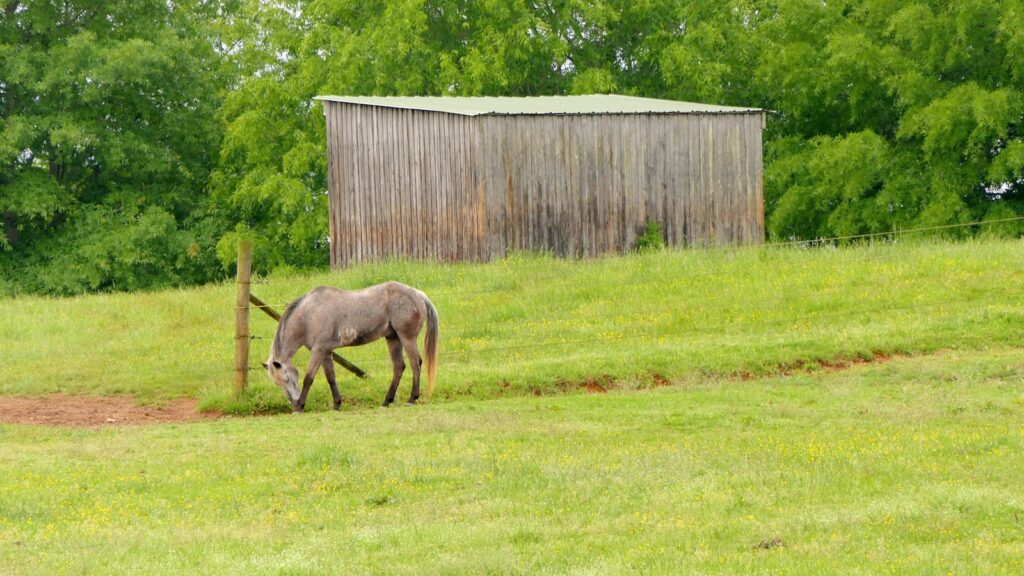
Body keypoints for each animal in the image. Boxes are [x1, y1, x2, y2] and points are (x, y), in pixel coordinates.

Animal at [262, 282, 438, 412]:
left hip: (406, 338)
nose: (294, 401)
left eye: (287, 378)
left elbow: (309, 378)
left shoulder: (318, 351)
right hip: (393, 338)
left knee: (415, 363)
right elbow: (331, 378)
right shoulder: (326, 352)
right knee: (399, 367)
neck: (308, 316)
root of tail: (418, 294)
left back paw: (412, 398)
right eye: (278, 383)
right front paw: (336, 404)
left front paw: (299, 407)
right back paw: (386, 401)